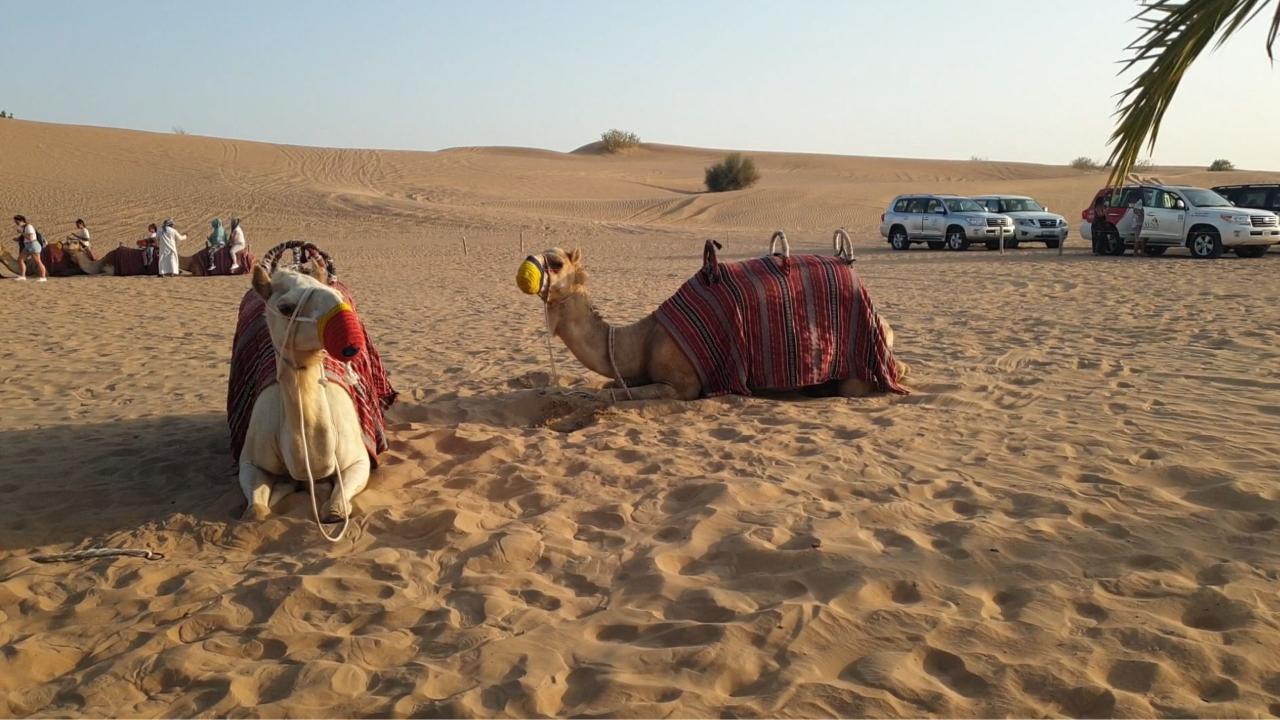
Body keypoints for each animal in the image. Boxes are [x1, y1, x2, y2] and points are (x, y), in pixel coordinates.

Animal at [514, 238, 906, 399]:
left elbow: (626, 395)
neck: (644, 338)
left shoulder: (683, 384)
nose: (524, 271)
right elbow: (613, 386)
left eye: (556, 263)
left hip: (858, 366)